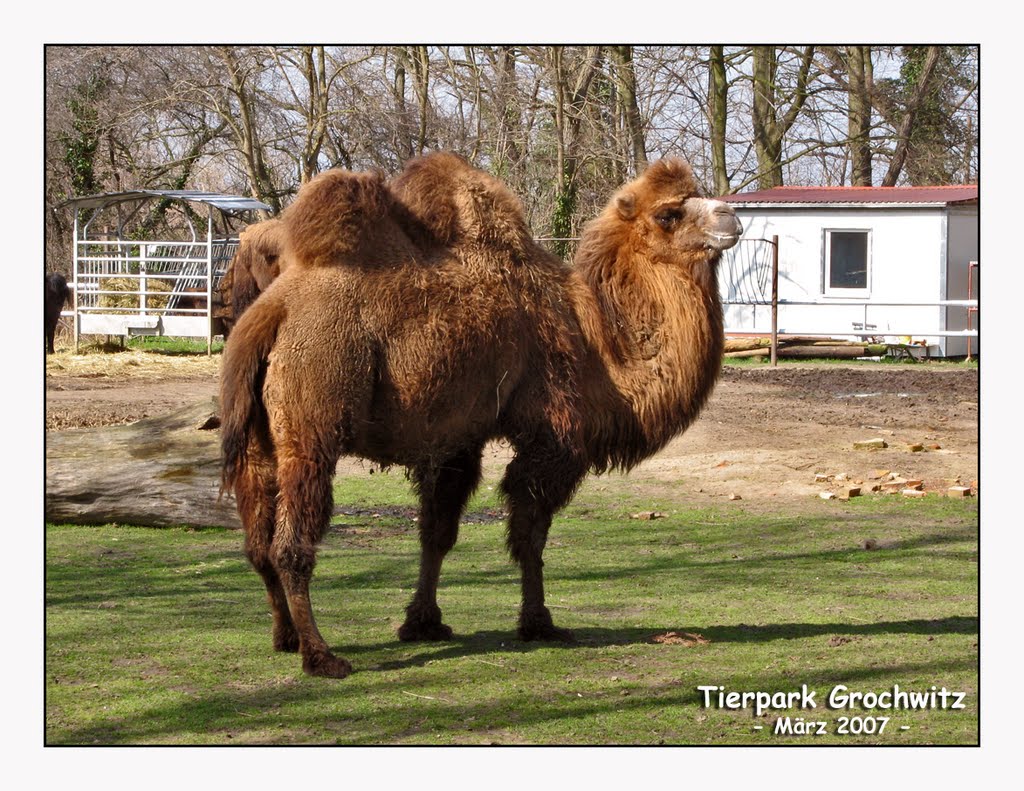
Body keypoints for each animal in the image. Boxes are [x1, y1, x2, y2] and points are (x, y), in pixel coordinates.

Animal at [220, 151, 741, 676]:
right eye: (669, 214)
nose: (731, 217)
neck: (599, 349)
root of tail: (273, 313)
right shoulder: (551, 437)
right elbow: (530, 534)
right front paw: (539, 624)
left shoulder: (456, 438)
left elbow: (437, 532)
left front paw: (423, 623)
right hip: (314, 413)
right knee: (291, 544)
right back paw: (321, 656)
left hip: (257, 433)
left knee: (257, 541)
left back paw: (285, 637)